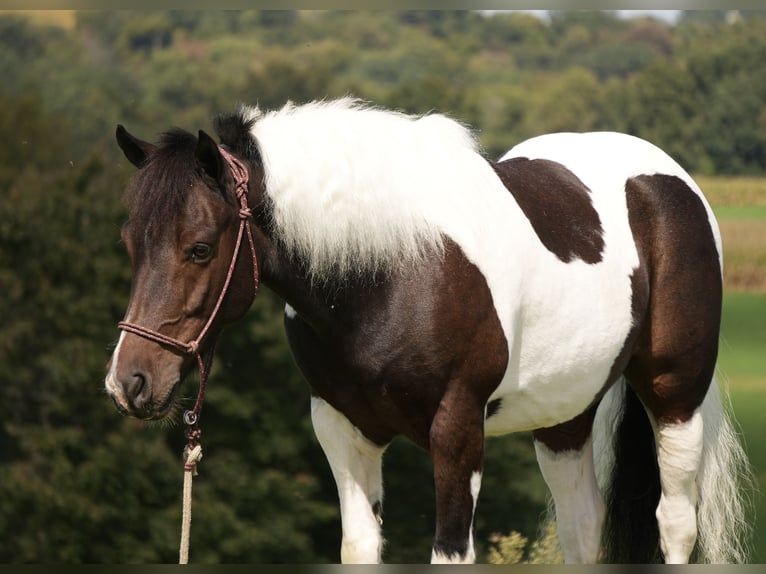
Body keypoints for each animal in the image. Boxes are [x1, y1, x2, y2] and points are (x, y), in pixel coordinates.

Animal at [104, 97, 752, 564]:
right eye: (130, 244)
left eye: (199, 248)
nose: (129, 383)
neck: (389, 272)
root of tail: (669, 181)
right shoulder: (342, 427)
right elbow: (360, 547)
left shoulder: (458, 429)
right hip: (565, 413)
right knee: (582, 524)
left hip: (676, 393)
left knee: (674, 523)